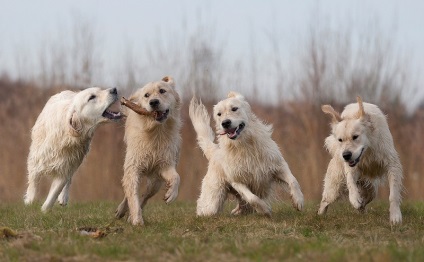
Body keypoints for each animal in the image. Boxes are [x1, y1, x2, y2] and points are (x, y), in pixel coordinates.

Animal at [115, 75, 181, 225]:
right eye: (146, 95)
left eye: (162, 91)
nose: (154, 102)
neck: (155, 131)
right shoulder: (133, 168)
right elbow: (133, 196)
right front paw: (137, 220)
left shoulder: (164, 165)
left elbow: (177, 177)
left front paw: (171, 194)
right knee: (130, 192)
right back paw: (122, 210)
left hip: (155, 182)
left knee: (145, 196)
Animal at [318, 96, 404, 225]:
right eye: (340, 140)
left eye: (355, 136)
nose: (346, 155)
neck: (368, 150)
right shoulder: (351, 168)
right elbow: (350, 181)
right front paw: (354, 199)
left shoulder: (392, 164)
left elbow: (393, 194)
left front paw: (395, 217)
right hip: (334, 186)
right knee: (325, 200)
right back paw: (320, 215)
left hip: (371, 190)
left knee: (365, 201)